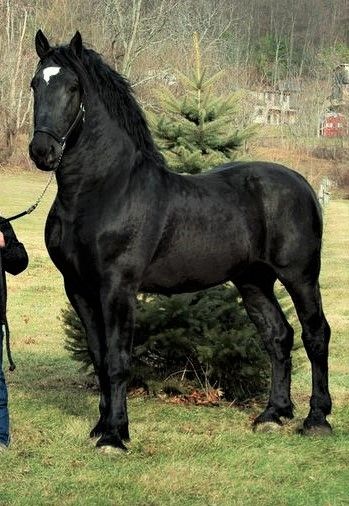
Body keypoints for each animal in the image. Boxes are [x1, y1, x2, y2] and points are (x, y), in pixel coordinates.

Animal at [28, 30, 330, 450]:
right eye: (35, 84)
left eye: (73, 87)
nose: (43, 151)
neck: (101, 191)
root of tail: (302, 183)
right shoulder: (78, 288)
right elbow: (99, 358)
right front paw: (102, 426)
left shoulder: (117, 288)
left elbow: (118, 360)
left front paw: (116, 436)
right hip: (253, 280)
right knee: (278, 337)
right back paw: (273, 415)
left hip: (299, 276)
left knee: (315, 334)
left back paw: (317, 419)